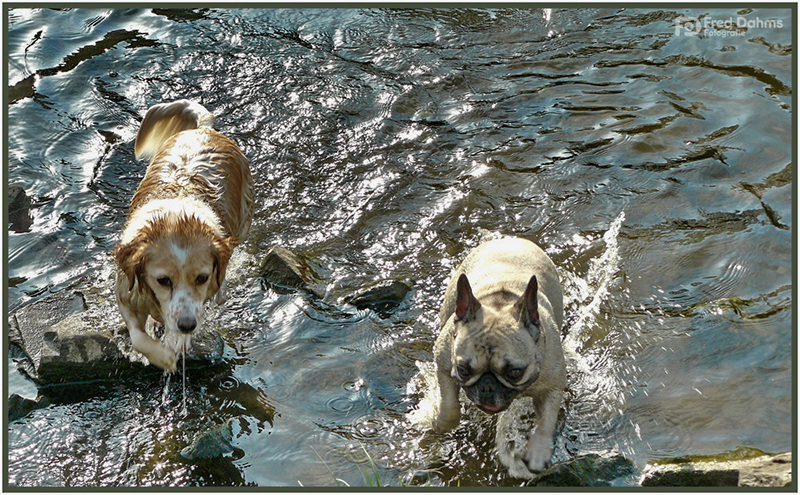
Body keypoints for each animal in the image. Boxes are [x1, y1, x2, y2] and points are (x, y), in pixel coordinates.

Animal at [113, 101, 253, 372]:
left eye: (202, 278)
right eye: (163, 280)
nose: (187, 325)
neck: (175, 219)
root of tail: (203, 130)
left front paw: (177, 342)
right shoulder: (127, 291)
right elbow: (137, 337)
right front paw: (162, 355)